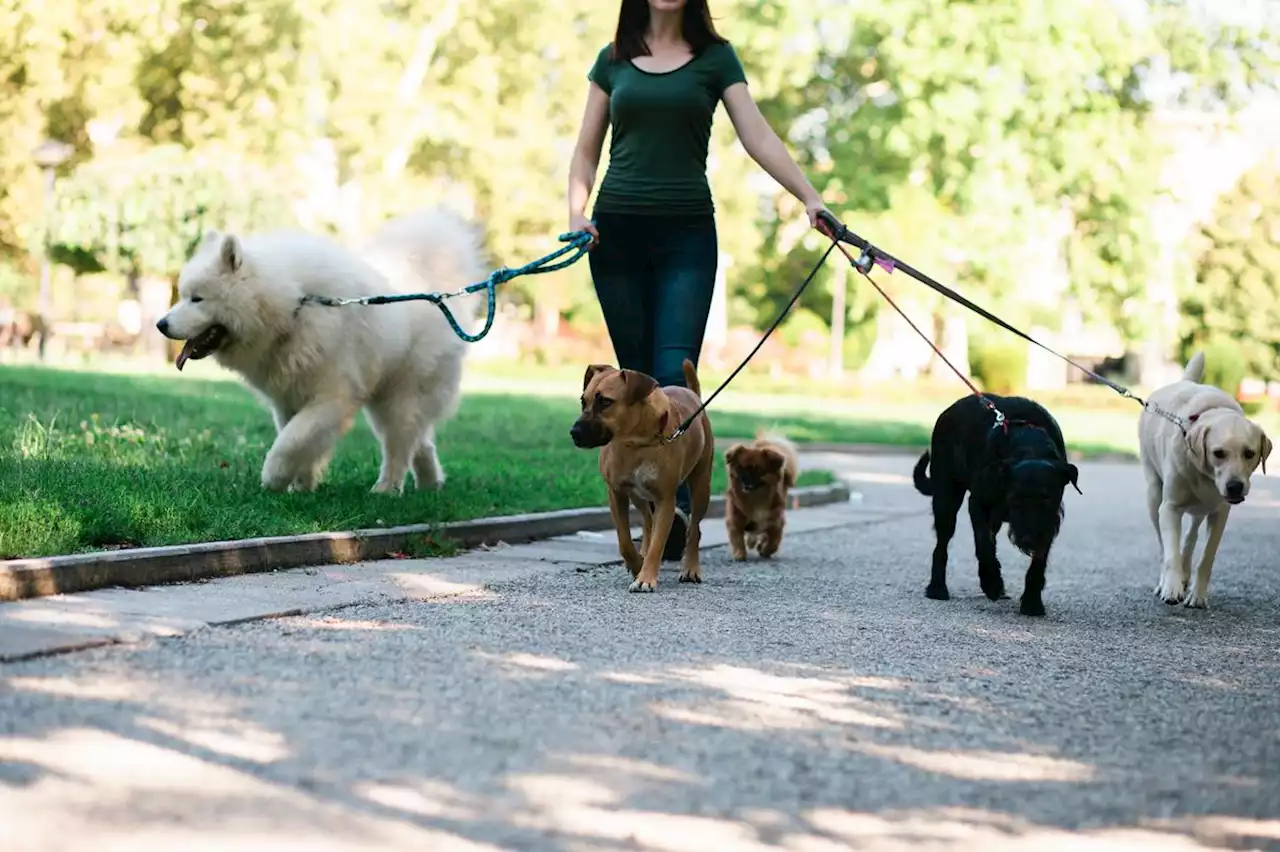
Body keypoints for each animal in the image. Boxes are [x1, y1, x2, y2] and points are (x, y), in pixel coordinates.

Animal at [154, 205, 483, 493]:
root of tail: (437, 290)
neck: (293, 309)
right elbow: (298, 441)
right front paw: (301, 486)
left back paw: (386, 490)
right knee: (419, 440)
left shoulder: (331, 398)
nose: (161, 324)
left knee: (399, 447)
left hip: (401, 397)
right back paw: (430, 484)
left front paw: (273, 479)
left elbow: (291, 441)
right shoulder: (287, 399)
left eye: (197, 299)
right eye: (183, 295)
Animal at [568, 355, 711, 591]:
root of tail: (692, 395)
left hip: (701, 487)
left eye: (605, 401)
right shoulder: (617, 494)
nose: (574, 433)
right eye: (583, 401)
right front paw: (637, 564)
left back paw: (691, 568)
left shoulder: (666, 500)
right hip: (637, 495)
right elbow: (624, 541)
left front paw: (646, 577)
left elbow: (658, 544)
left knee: (694, 529)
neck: (635, 441)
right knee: (648, 519)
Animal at [727, 427, 793, 560]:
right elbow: (737, 538)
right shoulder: (735, 518)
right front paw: (739, 554)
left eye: (758, 470)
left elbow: (774, 541)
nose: (746, 480)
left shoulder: (776, 521)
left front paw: (765, 550)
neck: (756, 498)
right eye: (740, 468)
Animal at [911, 391, 1080, 616]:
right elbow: (984, 546)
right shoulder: (977, 504)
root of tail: (949, 410)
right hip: (946, 499)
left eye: (1047, 498)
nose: (1028, 539)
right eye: (1015, 497)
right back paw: (938, 588)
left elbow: (1038, 562)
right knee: (942, 544)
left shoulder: (1050, 522)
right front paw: (992, 583)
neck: (1029, 445)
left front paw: (1032, 602)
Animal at [1141, 350, 1269, 603]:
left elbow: (1207, 556)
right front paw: (1171, 587)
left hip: (1202, 506)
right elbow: (1170, 553)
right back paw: (1167, 580)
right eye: (1218, 453)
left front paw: (1197, 595)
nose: (1235, 486)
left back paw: (1186, 570)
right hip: (1153, 495)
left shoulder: (1220, 513)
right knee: (1162, 543)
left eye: (1249, 453)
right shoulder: (1169, 508)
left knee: (1191, 535)